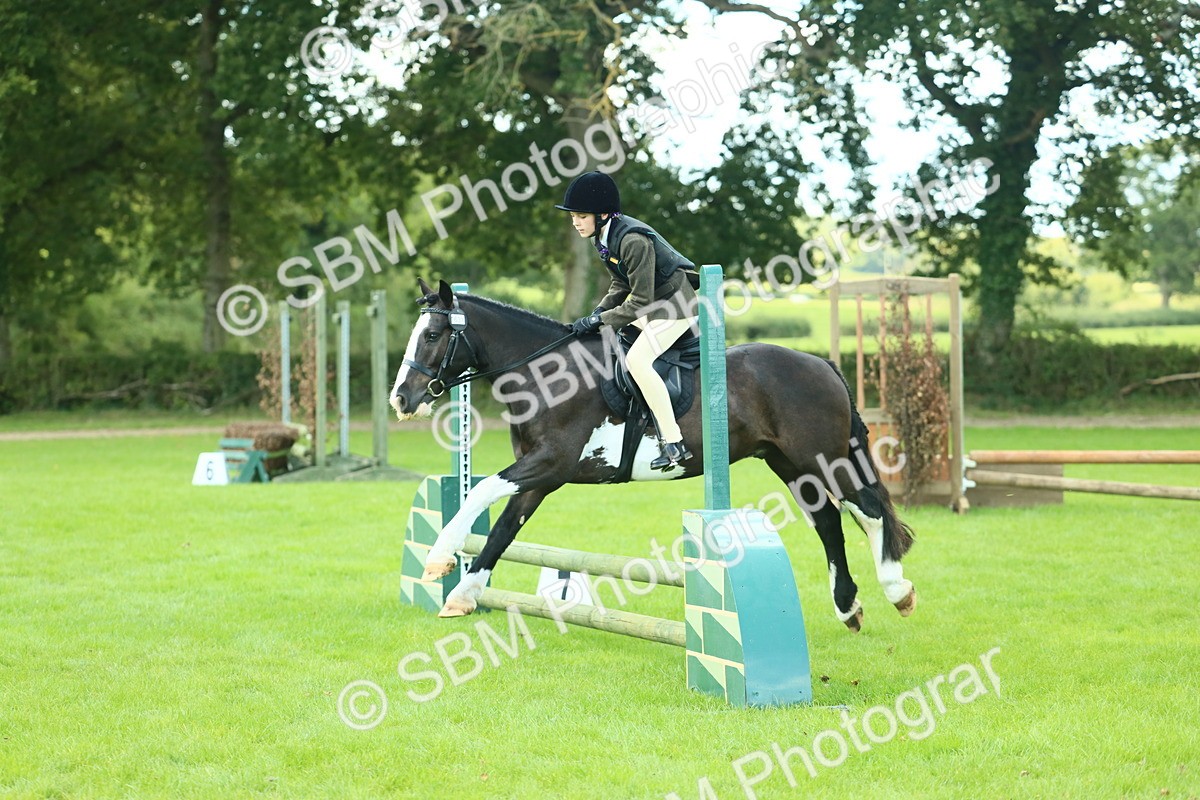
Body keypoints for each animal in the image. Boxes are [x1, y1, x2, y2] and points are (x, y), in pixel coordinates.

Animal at [390, 279, 917, 630]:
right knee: (828, 519)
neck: (546, 374)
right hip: (786, 462)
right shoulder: (538, 478)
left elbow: (480, 489)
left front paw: (438, 560)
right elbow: (501, 531)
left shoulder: (550, 464)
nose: (401, 400)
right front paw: (462, 595)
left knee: (866, 510)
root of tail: (820, 363)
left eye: (432, 336)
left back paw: (898, 591)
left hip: (821, 457)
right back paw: (848, 607)